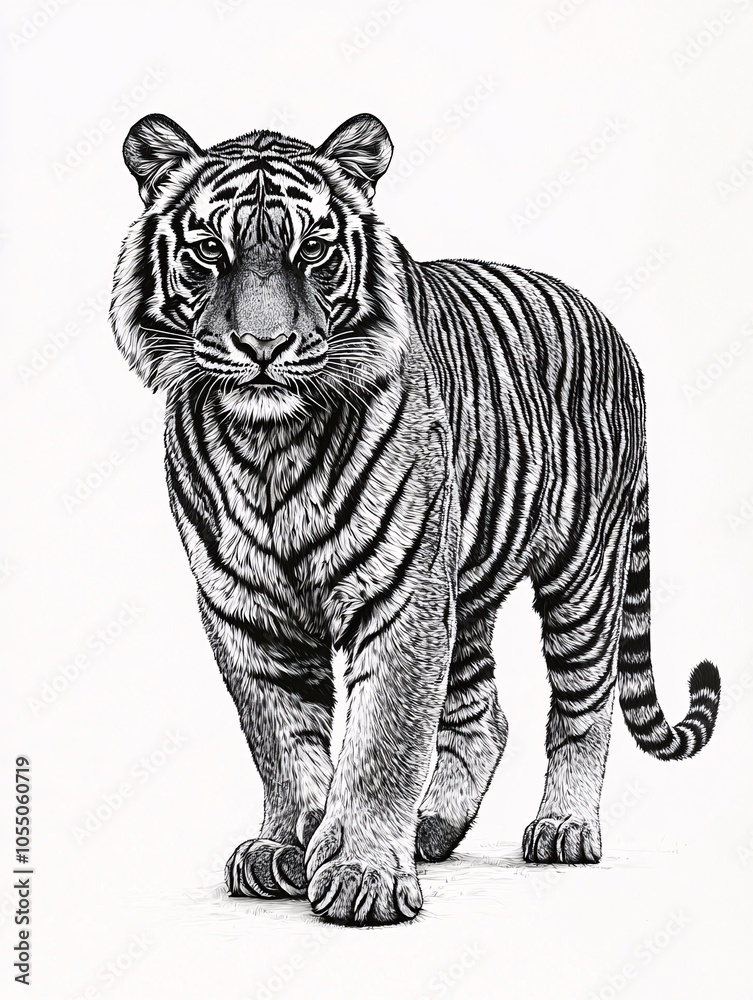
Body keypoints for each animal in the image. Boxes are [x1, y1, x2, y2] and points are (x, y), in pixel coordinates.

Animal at [110, 111, 721, 926]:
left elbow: (383, 740)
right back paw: (433, 829)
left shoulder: (400, 599)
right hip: (466, 589)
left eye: (314, 250)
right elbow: (282, 740)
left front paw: (362, 874)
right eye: (211, 250)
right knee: (484, 714)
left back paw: (562, 828)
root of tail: (614, 333)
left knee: (581, 707)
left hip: (580, 578)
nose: (264, 347)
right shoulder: (247, 613)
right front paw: (289, 846)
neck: (270, 442)